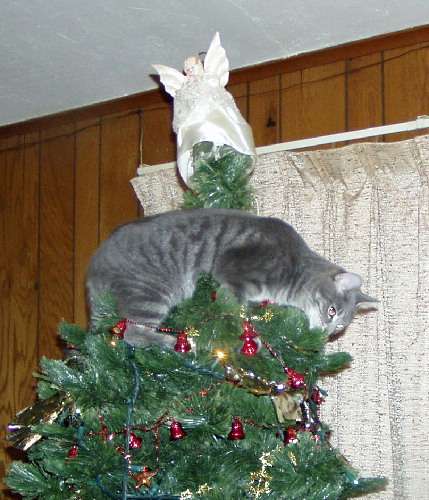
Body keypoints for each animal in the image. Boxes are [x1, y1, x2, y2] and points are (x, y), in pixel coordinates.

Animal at [86, 208, 374, 348]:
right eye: (331, 310)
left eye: (339, 327)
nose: (325, 334)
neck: (294, 269)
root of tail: (92, 271)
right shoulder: (231, 273)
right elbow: (238, 312)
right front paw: (252, 339)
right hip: (150, 292)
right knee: (134, 334)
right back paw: (178, 343)